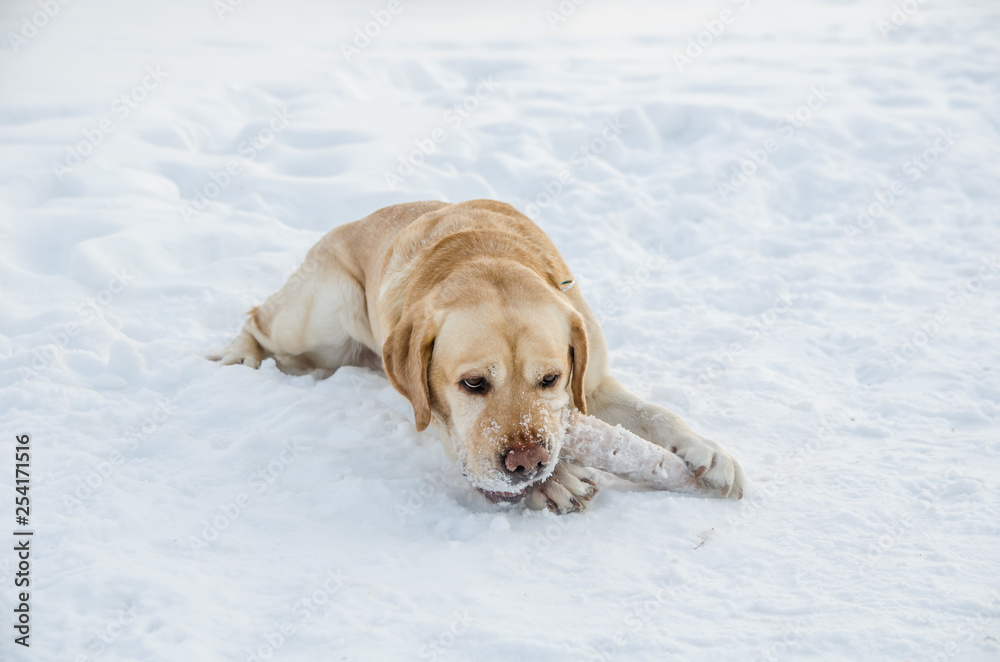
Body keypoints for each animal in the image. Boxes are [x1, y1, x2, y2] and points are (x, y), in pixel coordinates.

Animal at [211, 201, 744, 512]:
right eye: (473, 384)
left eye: (550, 379)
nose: (528, 464)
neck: (484, 255)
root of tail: (352, 222)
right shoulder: (437, 415)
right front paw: (554, 482)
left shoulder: (589, 386)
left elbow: (654, 412)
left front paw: (708, 452)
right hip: (323, 316)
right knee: (257, 319)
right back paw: (237, 360)